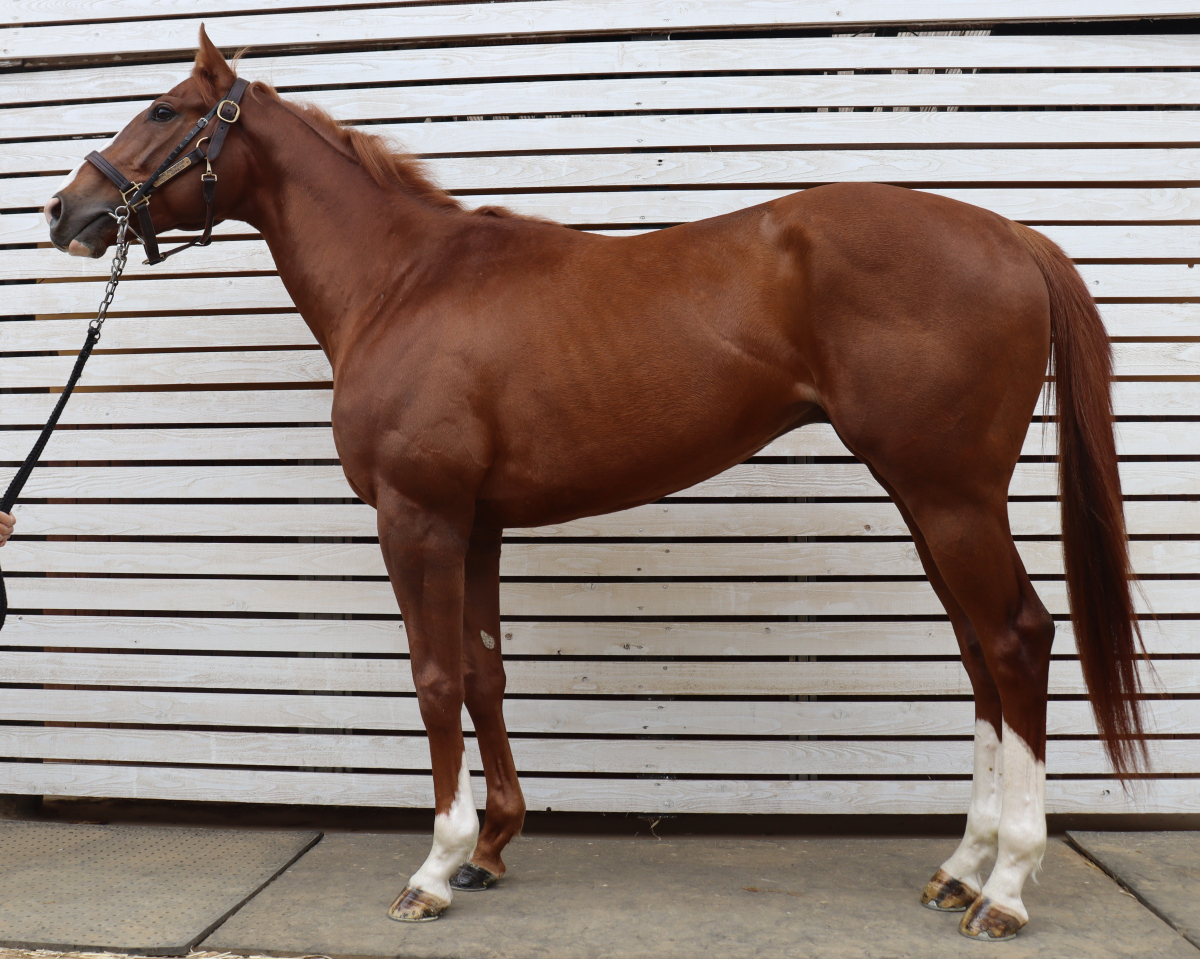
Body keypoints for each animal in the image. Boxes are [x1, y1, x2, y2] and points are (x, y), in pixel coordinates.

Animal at [45, 28, 1144, 941]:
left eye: (163, 110)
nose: (68, 210)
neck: (405, 282)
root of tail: (1011, 237)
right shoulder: (476, 524)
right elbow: (483, 672)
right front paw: (491, 847)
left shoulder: (418, 519)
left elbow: (434, 678)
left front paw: (434, 867)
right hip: (932, 502)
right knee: (979, 655)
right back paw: (963, 866)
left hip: (950, 497)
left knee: (1016, 640)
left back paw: (1006, 888)